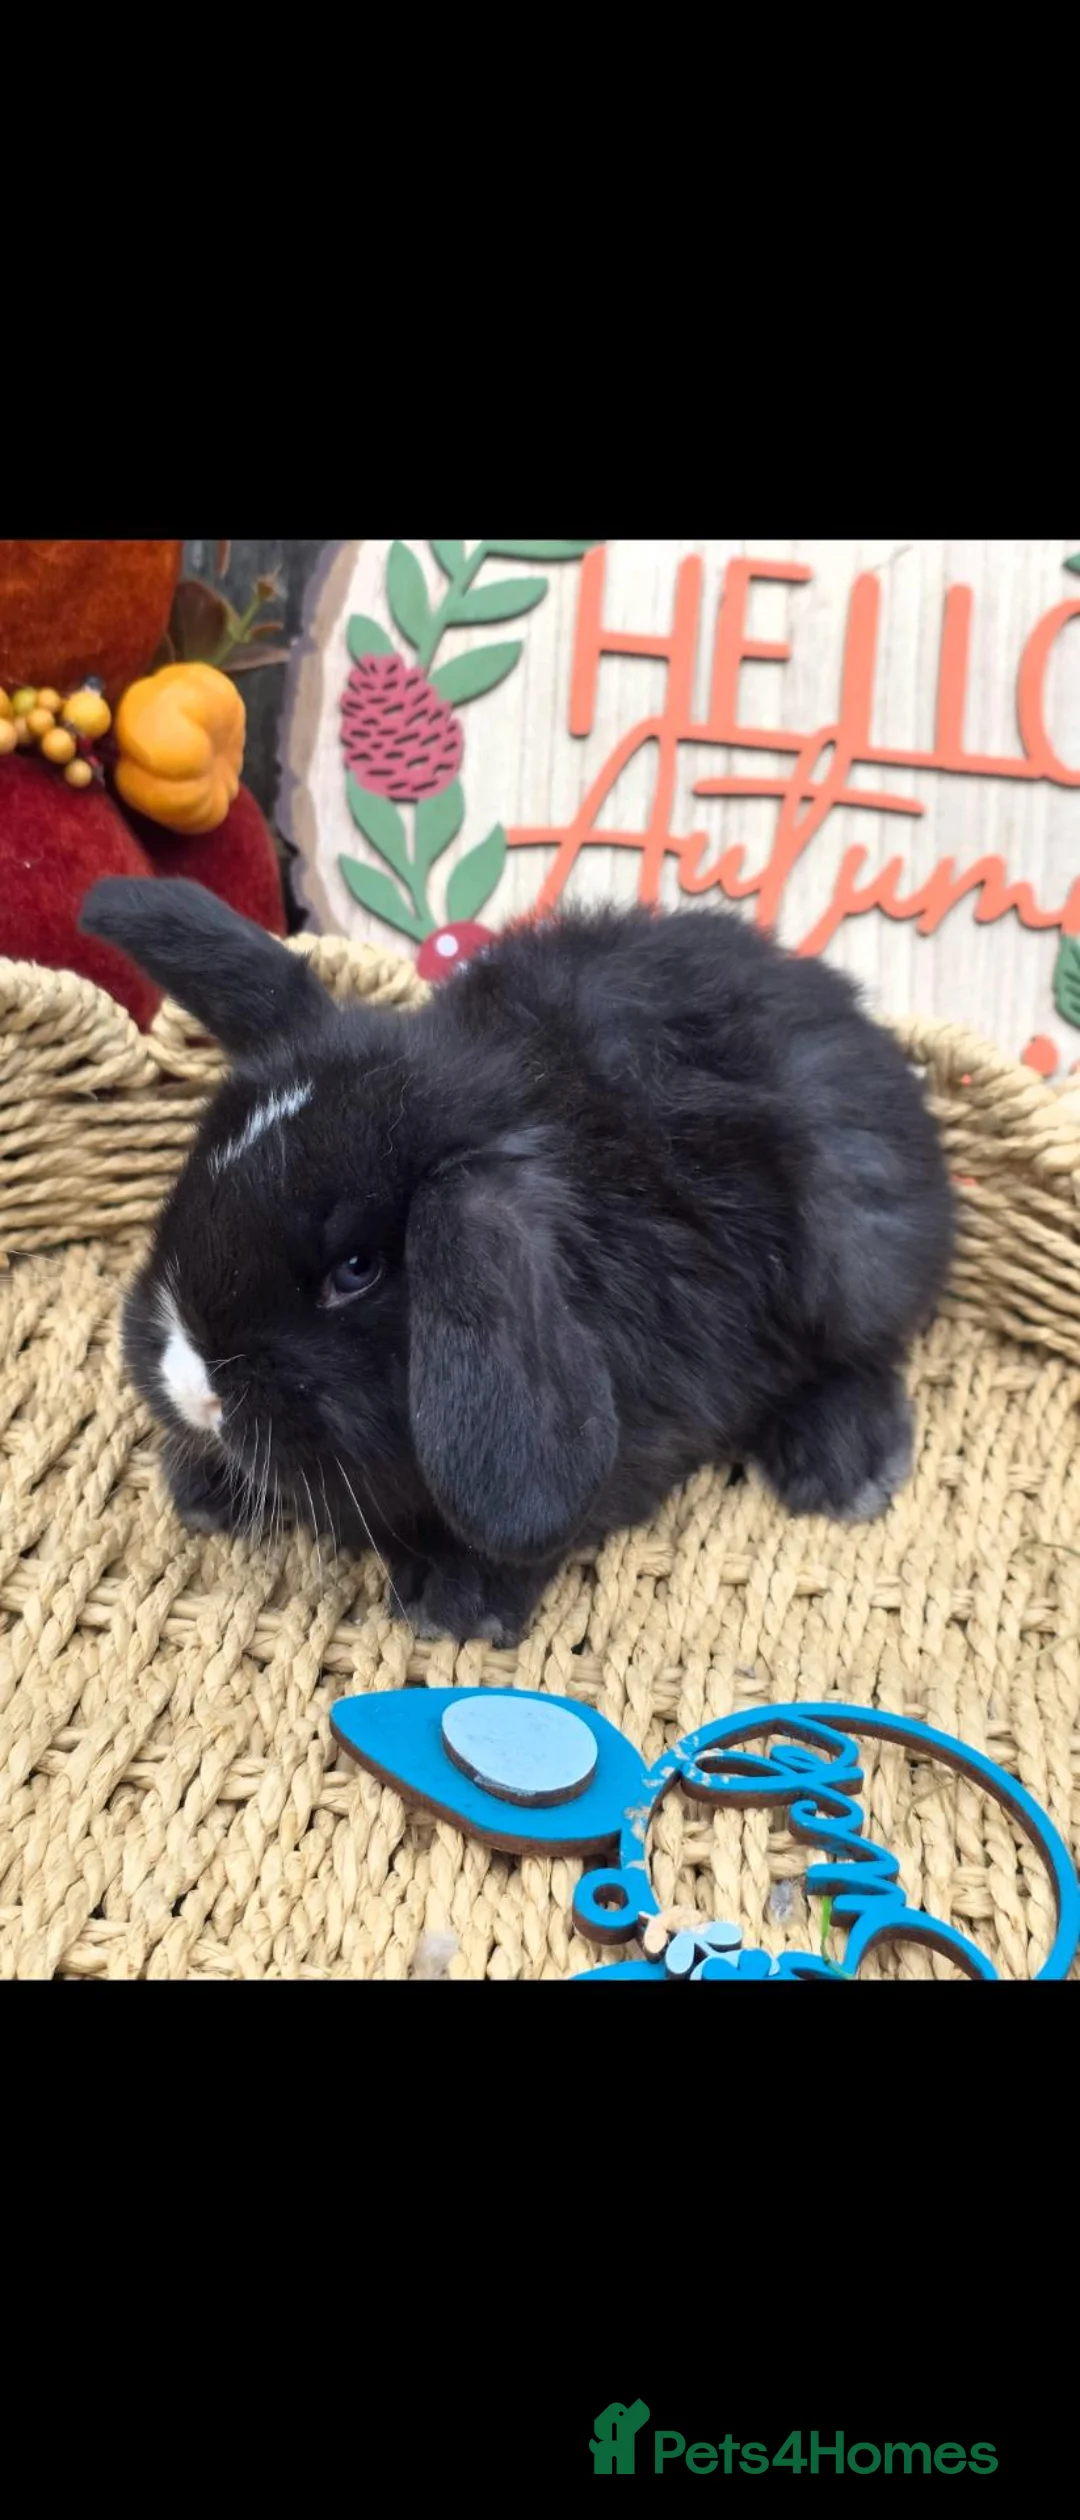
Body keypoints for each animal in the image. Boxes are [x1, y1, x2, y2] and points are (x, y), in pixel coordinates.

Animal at [80, 878, 955, 1646]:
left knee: (861, 1350)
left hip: (852, 1253)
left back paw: (846, 1469)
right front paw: (204, 1487)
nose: (192, 1391)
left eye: (355, 1269)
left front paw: (459, 1603)